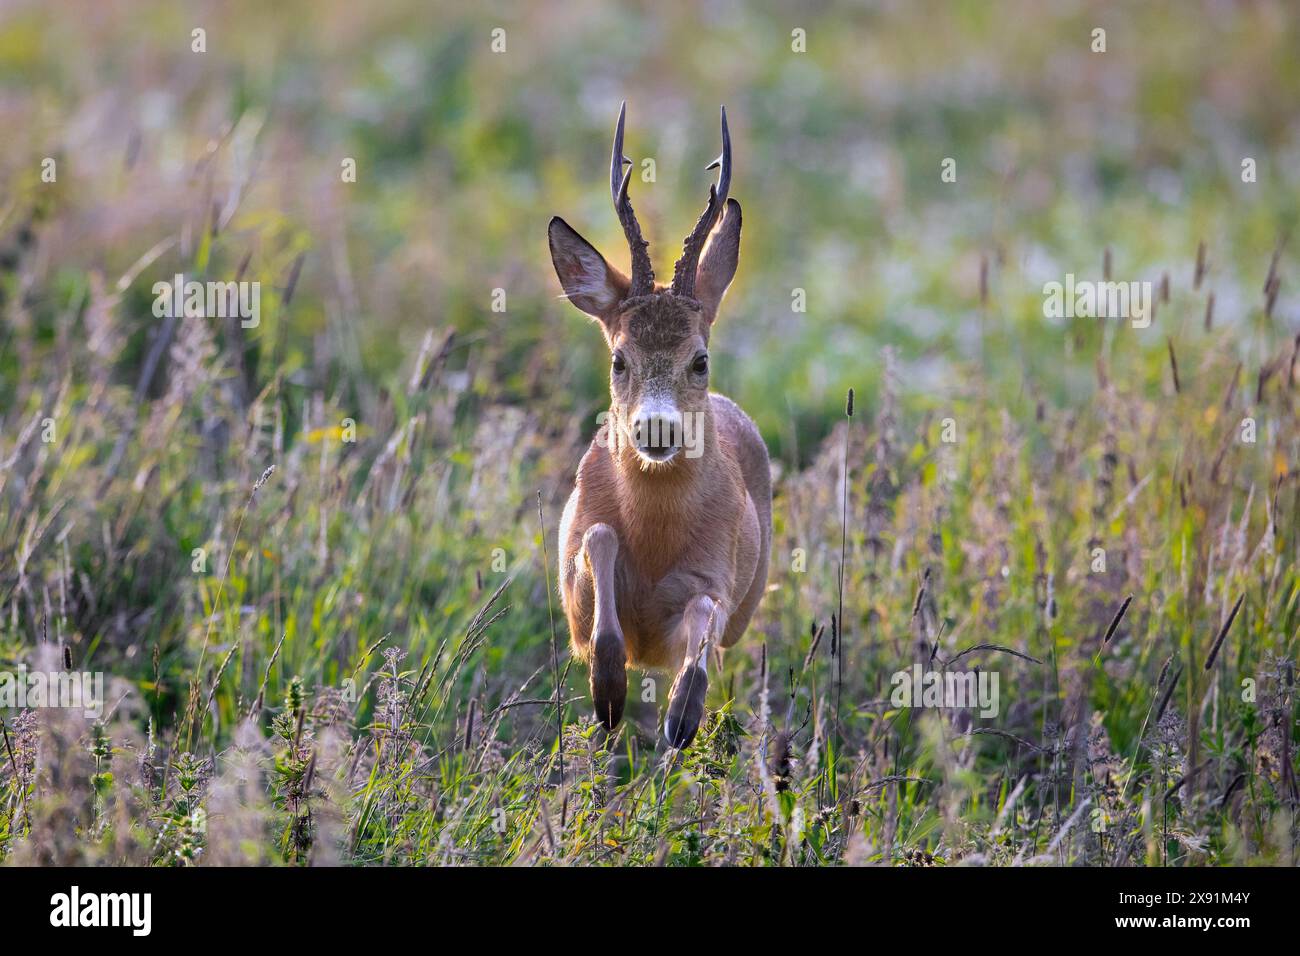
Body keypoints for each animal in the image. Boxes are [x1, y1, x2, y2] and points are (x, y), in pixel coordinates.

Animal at [548, 102, 769, 749]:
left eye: (700, 359)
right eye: (619, 359)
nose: (657, 429)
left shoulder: (714, 581)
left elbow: (702, 621)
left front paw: (681, 716)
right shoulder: (573, 597)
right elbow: (598, 542)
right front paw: (608, 693)